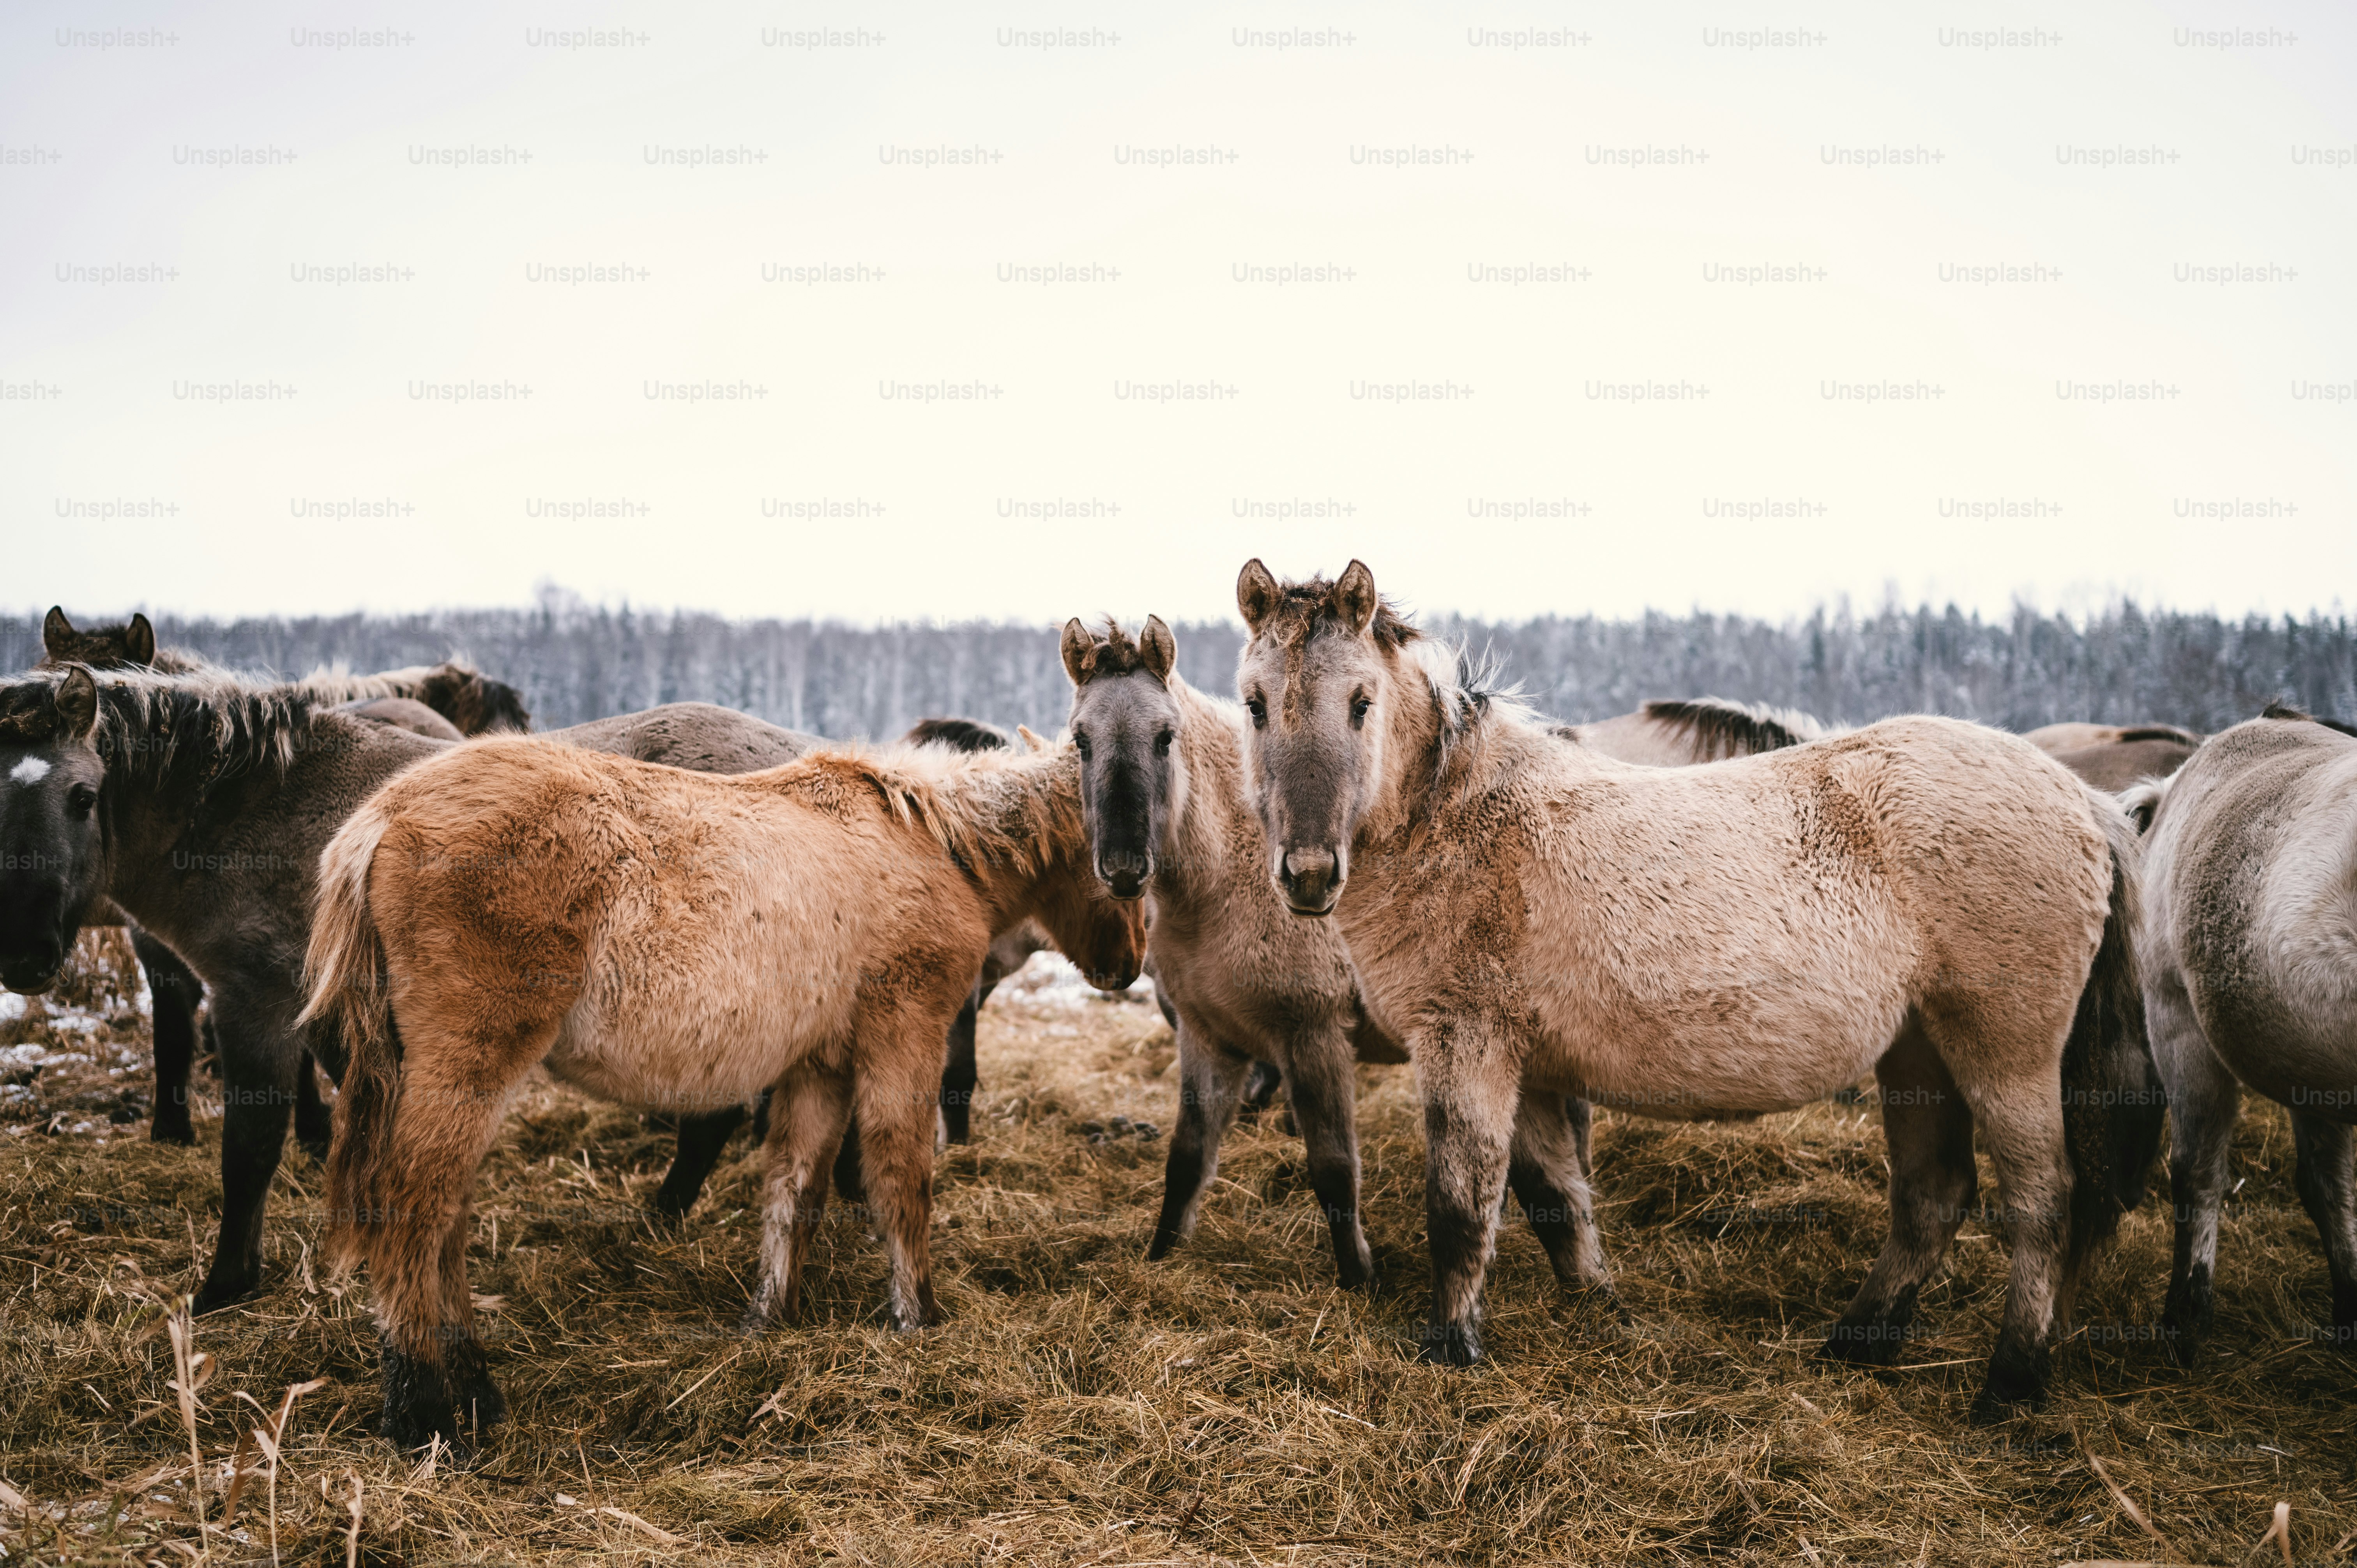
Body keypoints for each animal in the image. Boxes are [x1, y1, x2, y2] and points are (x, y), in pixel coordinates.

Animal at [300, 732, 1143, 1448]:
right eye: (1121, 863)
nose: (1128, 965)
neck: (929, 838)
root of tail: (382, 817)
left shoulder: (818, 1066)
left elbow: (794, 1186)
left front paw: (769, 1317)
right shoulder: (903, 1038)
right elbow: (901, 1179)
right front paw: (917, 1318)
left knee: (443, 1217)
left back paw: (473, 1389)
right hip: (470, 1066)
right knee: (415, 1209)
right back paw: (428, 1410)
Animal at [1230, 559, 2164, 1415]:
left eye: (1360, 701)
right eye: (1255, 703)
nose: (1307, 873)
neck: (1456, 814)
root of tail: (2086, 801)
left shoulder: (1466, 1045)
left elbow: (1462, 1207)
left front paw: (1449, 1348)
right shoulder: (1529, 1065)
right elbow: (1554, 1200)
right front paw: (1599, 1313)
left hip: (2003, 1053)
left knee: (2043, 1203)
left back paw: (2009, 1381)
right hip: (1918, 1049)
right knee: (1933, 1196)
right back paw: (1857, 1342)